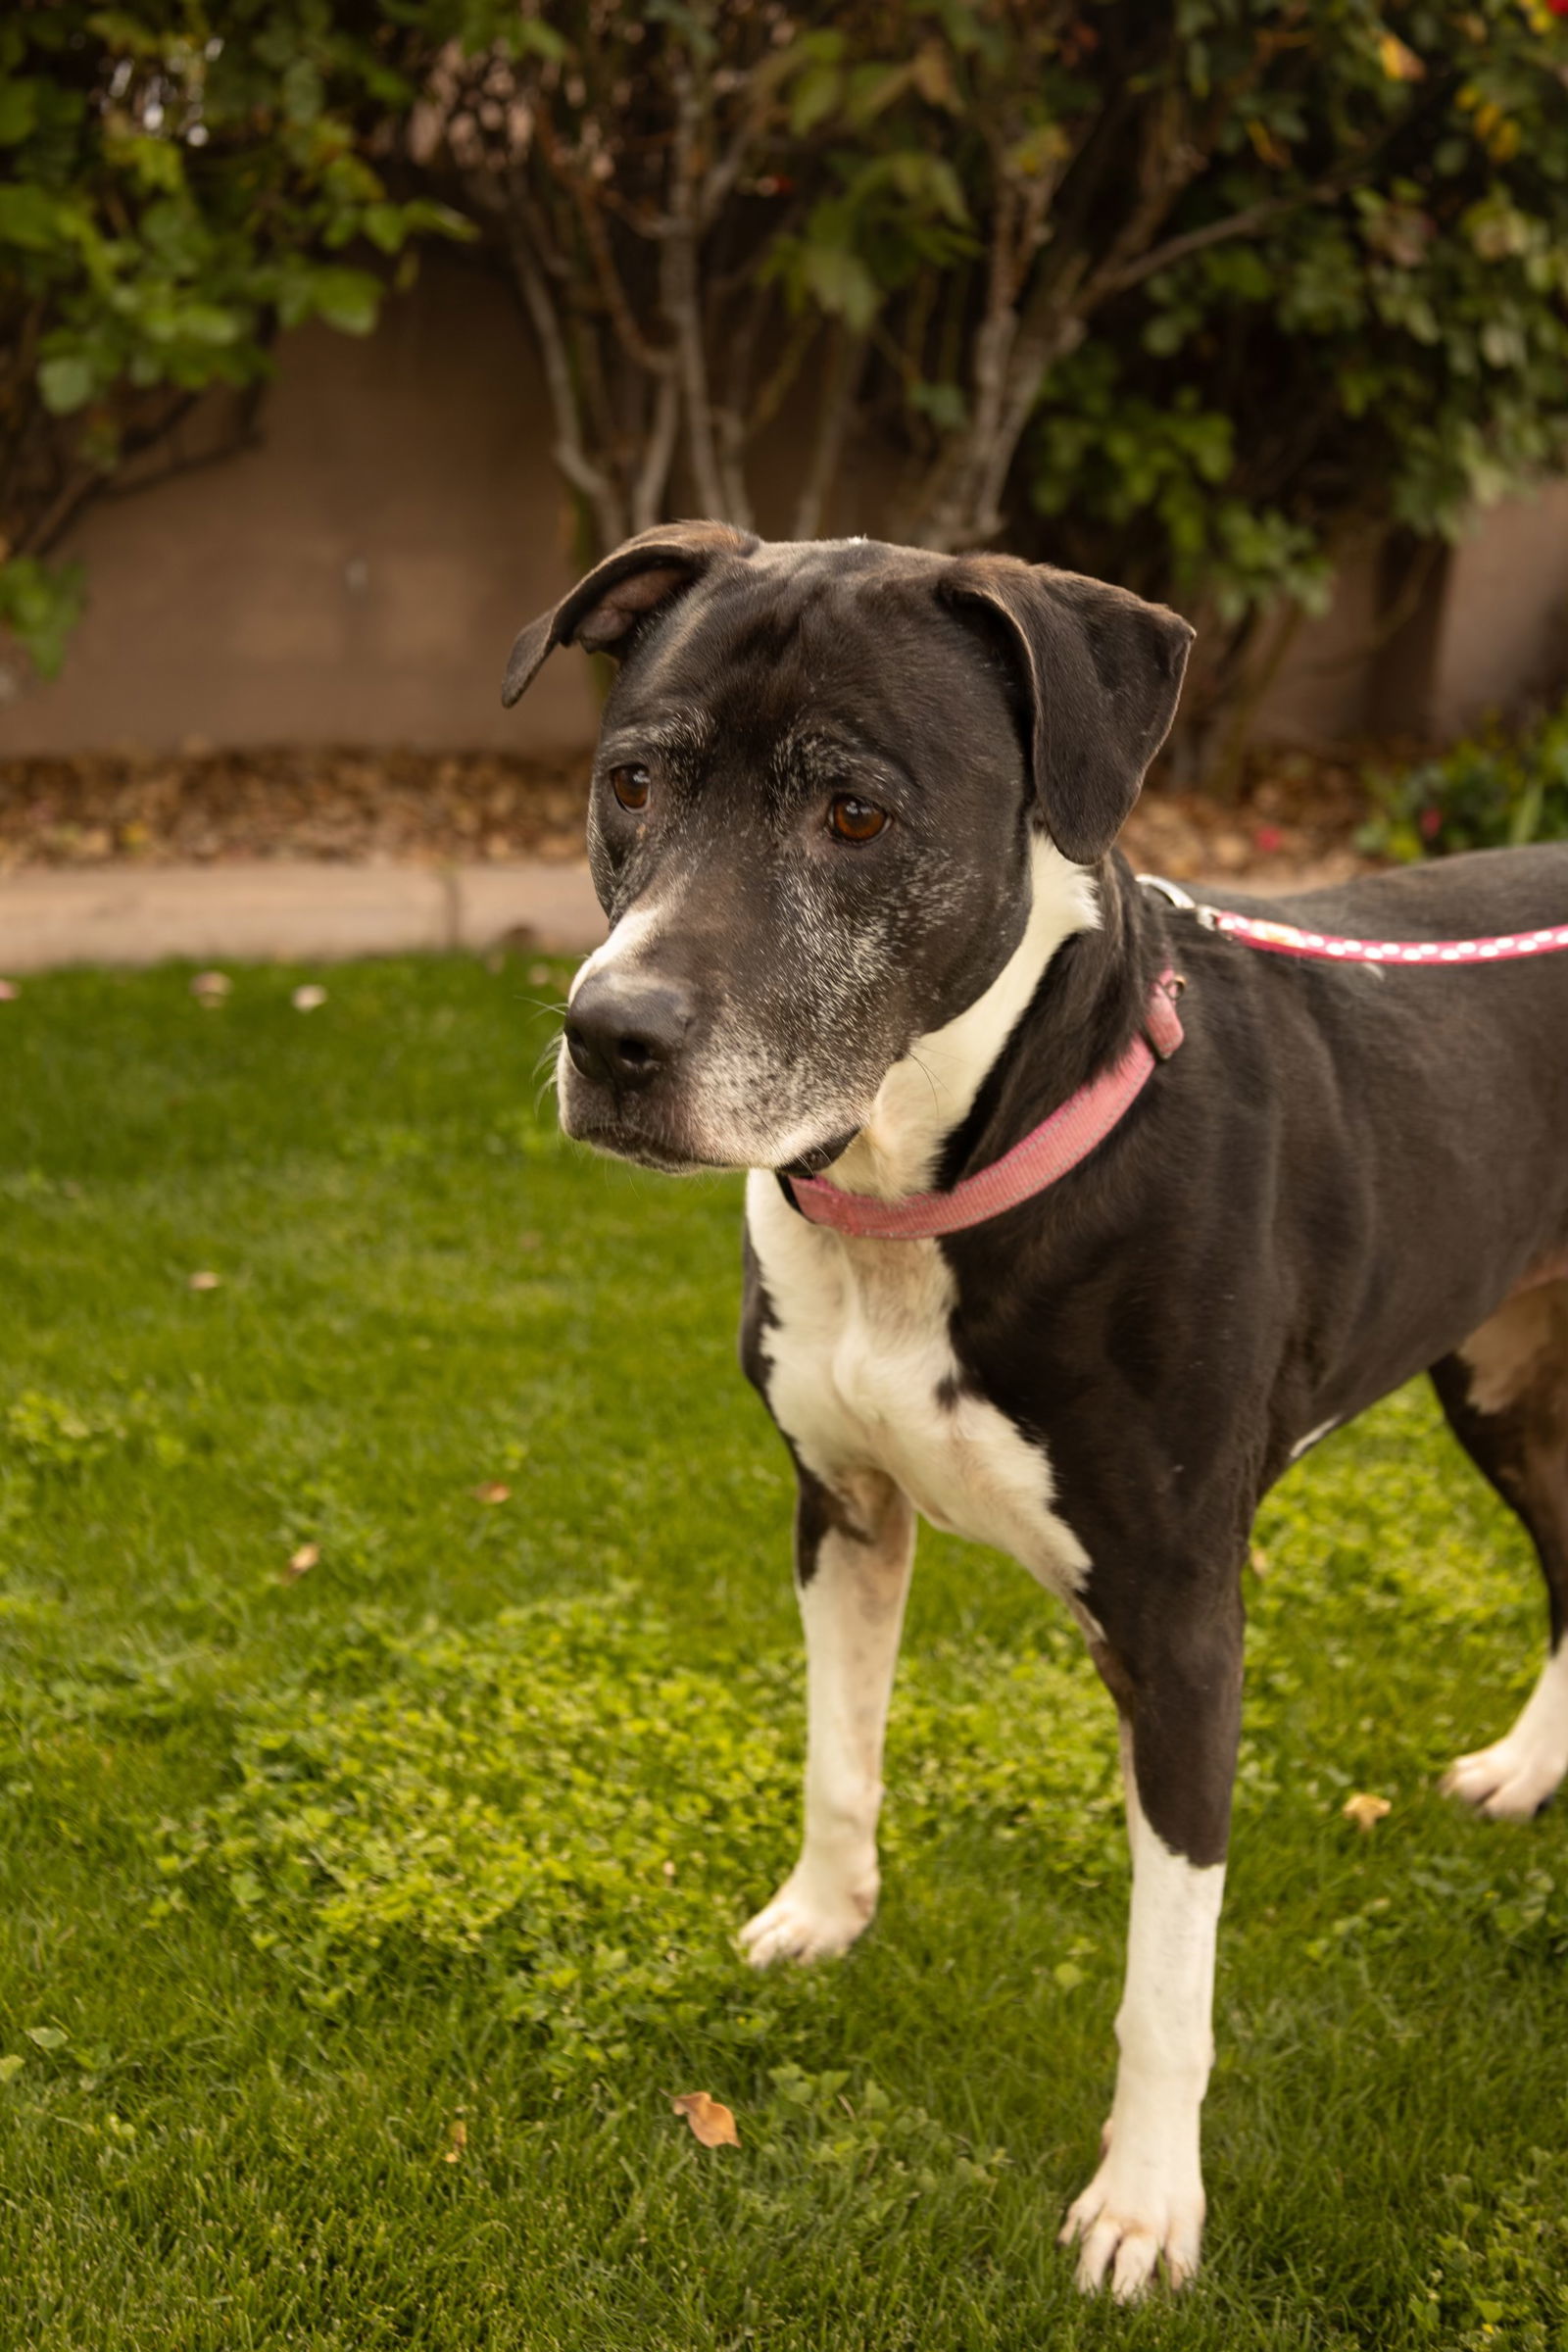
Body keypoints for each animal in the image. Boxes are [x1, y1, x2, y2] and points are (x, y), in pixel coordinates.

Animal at [505, 529, 1568, 2295]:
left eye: (855, 817)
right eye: (633, 785)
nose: (611, 1036)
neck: (921, 1191)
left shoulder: (1183, 1626)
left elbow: (1167, 1980)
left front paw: (1144, 2204)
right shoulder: (841, 1511)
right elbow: (839, 1755)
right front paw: (824, 1918)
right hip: (1507, 1382)